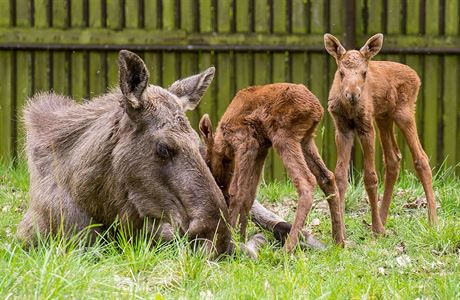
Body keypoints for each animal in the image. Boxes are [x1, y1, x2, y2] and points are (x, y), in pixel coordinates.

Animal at [198, 82, 344, 251]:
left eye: (207, 161)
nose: (218, 185)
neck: (224, 146)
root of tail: (317, 110)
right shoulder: (261, 148)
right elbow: (249, 195)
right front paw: (241, 236)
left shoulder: (246, 142)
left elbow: (237, 191)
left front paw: (232, 236)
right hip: (306, 139)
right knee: (327, 177)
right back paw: (338, 242)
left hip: (284, 135)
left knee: (306, 181)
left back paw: (288, 248)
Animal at [324, 33, 438, 234]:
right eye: (341, 73)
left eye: (364, 73)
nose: (352, 95)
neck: (350, 109)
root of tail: (417, 77)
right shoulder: (342, 129)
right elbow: (340, 177)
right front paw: (341, 229)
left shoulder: (366, 126)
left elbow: (370, 177)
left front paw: (376, 229)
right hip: (384, 117)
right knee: (393, 159)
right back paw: (383, 218)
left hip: (404, 112)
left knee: (421, 158)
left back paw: (432, 222)